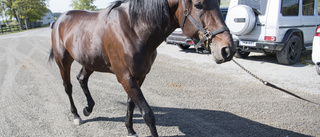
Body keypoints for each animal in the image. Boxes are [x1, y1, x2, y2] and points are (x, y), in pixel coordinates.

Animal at [49, 0, 235, 136]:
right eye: (198, 4)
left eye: (219, 2)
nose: (227, 50)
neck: (132, 29)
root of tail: (59, 20)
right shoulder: (125, 77)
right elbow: (147, 114)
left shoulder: (139, 76)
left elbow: (131, 104)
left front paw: (130, 130)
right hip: (63, 61)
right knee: (68, 87)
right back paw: (76, 115)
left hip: (90, 61)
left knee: (82, 79)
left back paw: (88, 109)